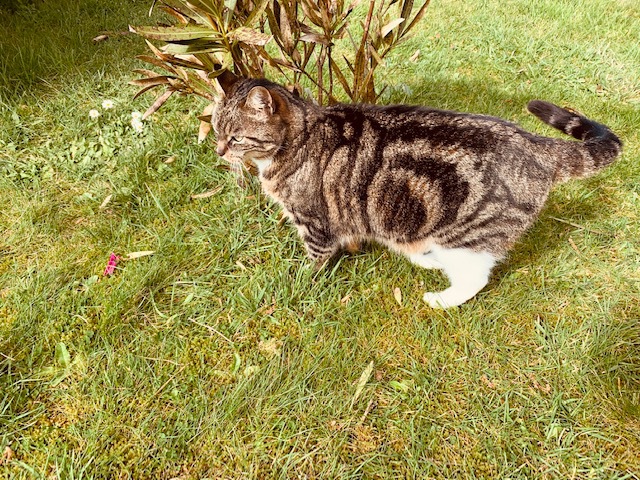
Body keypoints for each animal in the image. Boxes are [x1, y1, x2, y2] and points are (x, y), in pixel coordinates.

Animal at [211, 73, 620, 310]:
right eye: (215, 128)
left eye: (235, 137)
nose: (217, 150)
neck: (299, 138)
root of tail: (534, 143)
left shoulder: (314, 222)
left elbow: (314, 260)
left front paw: (296, 283)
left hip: (464, 235)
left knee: (475, 277)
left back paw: (441, 299)